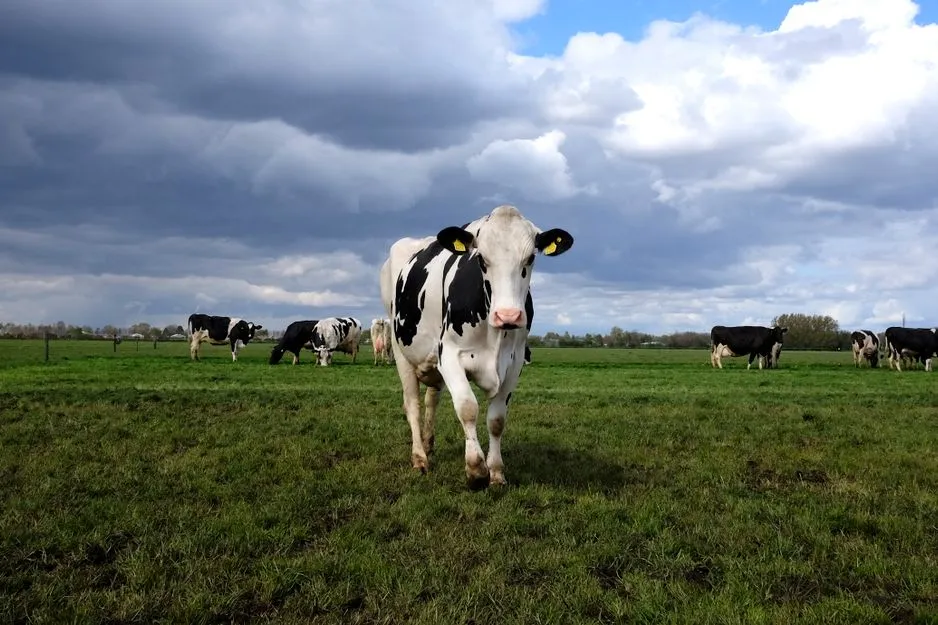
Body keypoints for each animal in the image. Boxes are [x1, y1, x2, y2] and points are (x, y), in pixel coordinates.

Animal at [380, 204, 573, 489]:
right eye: (481, 258)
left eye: (530, 259)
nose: (508, 316)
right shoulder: (449, 355)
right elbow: (467, 408)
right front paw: (475, 469)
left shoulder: (514, 363)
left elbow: (497, 420)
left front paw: (496, 472)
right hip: (400, 349)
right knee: (412, 404)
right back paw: (419, 457)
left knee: (431, 400)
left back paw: (428, 443)